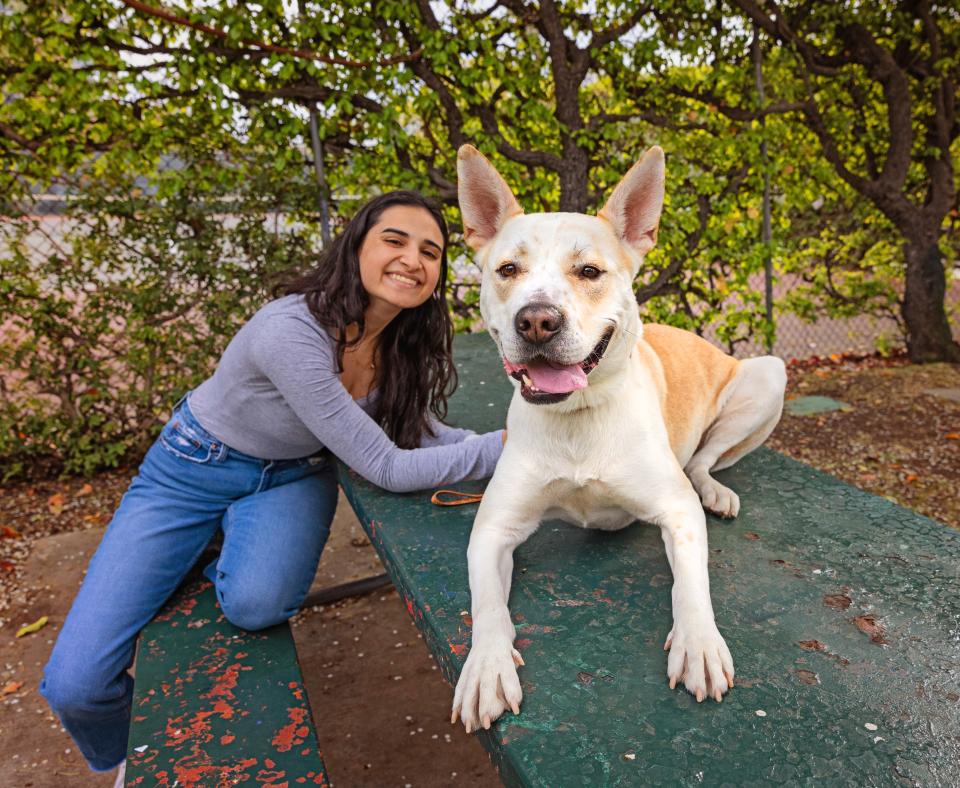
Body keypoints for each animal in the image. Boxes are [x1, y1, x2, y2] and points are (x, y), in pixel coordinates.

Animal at [450, 143, 788, 732]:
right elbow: (488, 605)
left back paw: (715, 490)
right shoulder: (493, 529)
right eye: (508, 270)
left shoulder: (677, 511)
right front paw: (487, 666)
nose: (537, 321)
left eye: (589, 271)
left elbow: (690, 584)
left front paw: (699, 643)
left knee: (702, 463)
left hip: (768, 375)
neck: (578, 417)